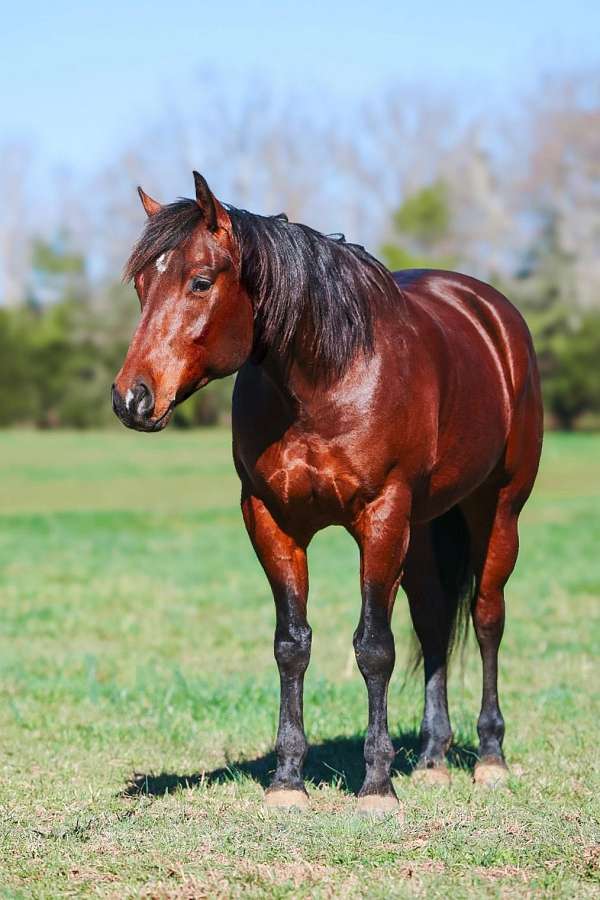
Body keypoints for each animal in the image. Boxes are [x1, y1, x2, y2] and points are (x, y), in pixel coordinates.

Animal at [112, 172, 543, 814]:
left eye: (200, 281)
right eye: (142, 284)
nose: (131, 399)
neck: (328, 378)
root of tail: (494, 314)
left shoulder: (382, 515)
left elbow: (375, 648)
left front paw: (376, 786)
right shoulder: (272, 518)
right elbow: (292, 644)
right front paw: (288, 780)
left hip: (497, 510)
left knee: (487, 618)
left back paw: (490, 757)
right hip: (420, 530)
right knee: (435, 622)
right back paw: (433, 759)